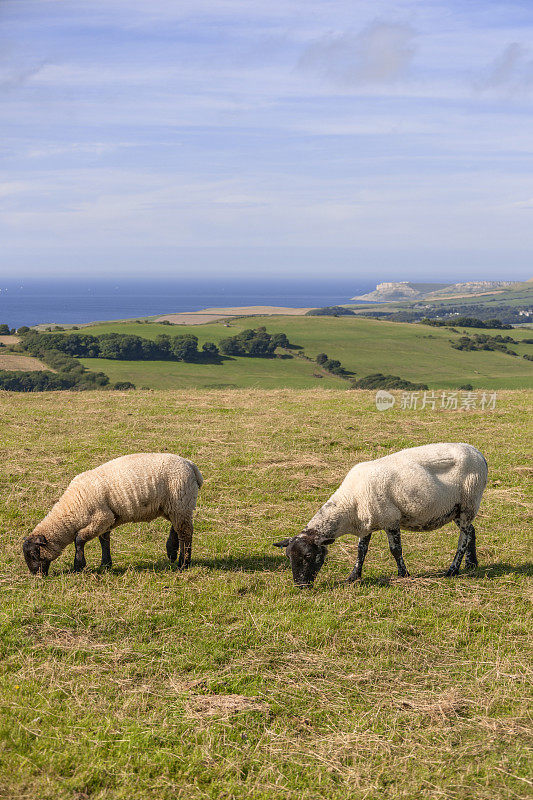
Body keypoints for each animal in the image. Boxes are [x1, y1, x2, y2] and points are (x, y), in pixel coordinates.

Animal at [21, 450, 203, 576]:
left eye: (34, 554)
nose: (36, 575)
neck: (73, 508)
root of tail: (191, 465)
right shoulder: (107, 520)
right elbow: (104, 540)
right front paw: (105, 564)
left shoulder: (102, 518)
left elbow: (79, 539)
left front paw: (79, 565)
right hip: (174, 505)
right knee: (177, 528)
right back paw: (172, 552)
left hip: (181, 500)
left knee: (185, 533)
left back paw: (183, 564)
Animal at [274, 444, 486, 588]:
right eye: (288, 556)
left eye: (309, 555)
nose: (300, 585)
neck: (349, 504)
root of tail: (479, 454)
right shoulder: (365, 525)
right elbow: (361, 551)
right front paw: (353, 576)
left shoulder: (390, 520)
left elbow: (396, 550)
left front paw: (403, 574)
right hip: (457, 509)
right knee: (471, 531)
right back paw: (471, 563)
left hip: (468, 502)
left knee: (463, 537)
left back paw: (453, 569)